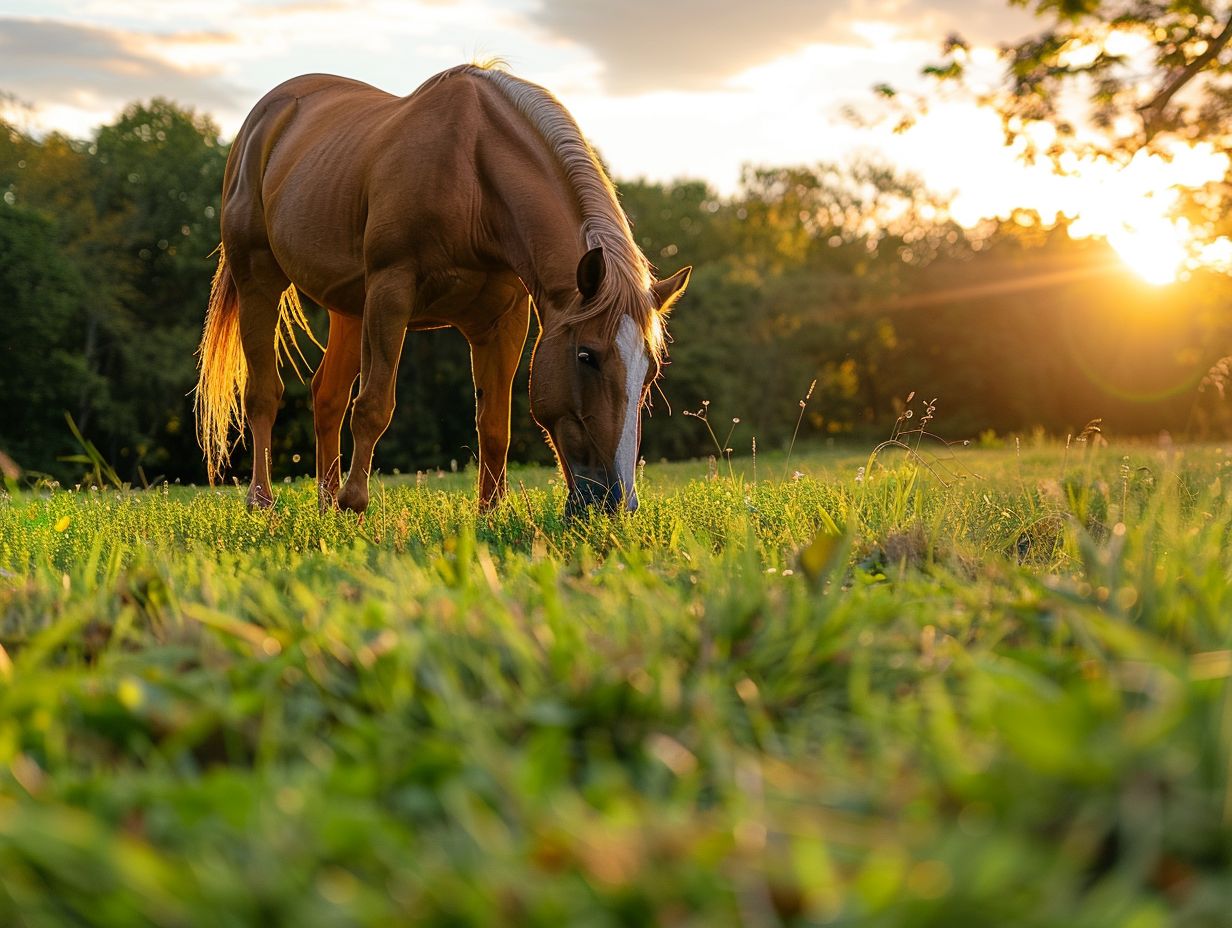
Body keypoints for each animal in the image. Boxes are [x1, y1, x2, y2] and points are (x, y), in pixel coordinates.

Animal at [195, 63, 689, 515]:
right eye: (587, 356)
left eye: (649, 372)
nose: (615, 503)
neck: (473, 177)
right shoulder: (390, 293)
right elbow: (374, 406)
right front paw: (355, 504)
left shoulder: (503, 322)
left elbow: (494, 425)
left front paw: (489, 513)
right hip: (258, 280)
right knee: (264, 393)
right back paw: (263, 502)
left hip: (348, 309)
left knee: (327, 397)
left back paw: (325, 505)